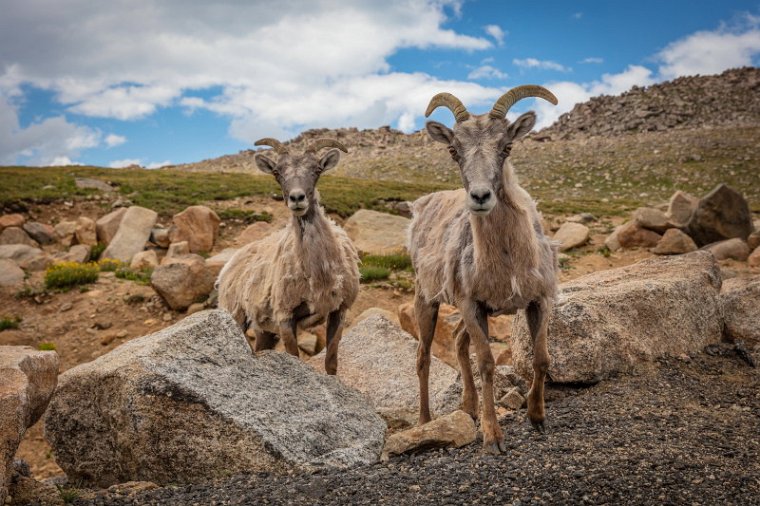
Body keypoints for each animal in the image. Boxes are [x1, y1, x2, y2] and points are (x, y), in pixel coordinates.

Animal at [218, 136, 360, 374]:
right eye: (277, 172)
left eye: (317, 169)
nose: (296, 198)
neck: (318, 275)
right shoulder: (285, 317)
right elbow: (294, 358)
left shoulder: (339, 310)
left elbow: (331, 362)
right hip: (237, 316)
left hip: (265, 330)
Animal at [410, 85, 560, 452]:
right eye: (454, 151)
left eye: (506, 147)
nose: (480, 197)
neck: (507, 260)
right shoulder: (470, 304)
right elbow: (488, 364)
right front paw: (493, 437)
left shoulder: (538, 301)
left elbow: (541, 358)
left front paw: (537, 418)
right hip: (427, 301)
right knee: (423, 357)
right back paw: (425, 422)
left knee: (459, 343)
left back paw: (468, 408)